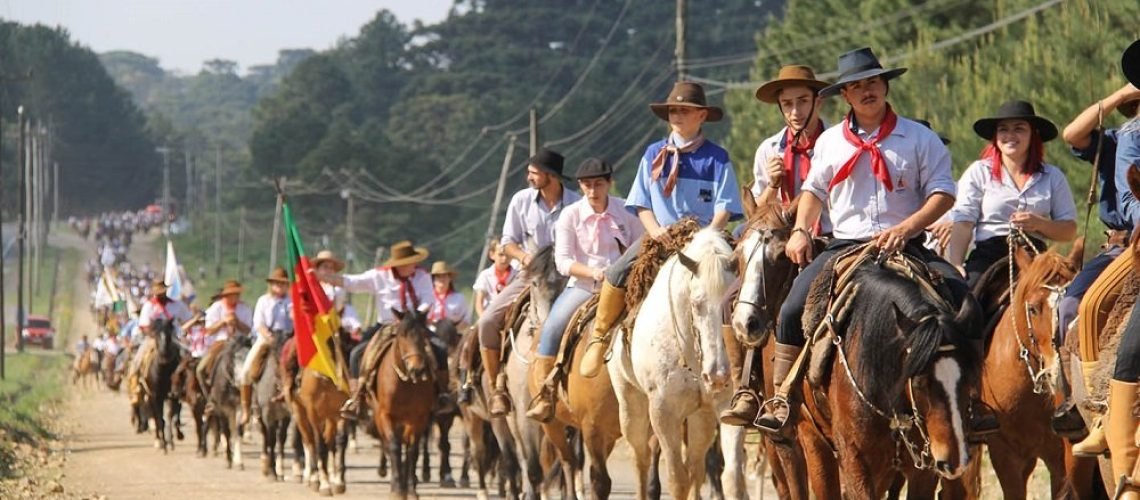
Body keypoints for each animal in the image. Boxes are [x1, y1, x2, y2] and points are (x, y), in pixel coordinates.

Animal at [371, 312, 437, 498]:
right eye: (402, 335)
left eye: (424, 334)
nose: (417, 369)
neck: (405, 383)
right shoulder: (385, 415)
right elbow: (394, 446)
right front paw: (398, 490)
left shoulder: (418, 418)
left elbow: (412, 450)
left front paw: (411, 490)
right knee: (389, 444)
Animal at [611, 228, 743, 498]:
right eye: (696, 303)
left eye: (733, 301)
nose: (718, 376)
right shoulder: (663, 412)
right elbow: (677, 479)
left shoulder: (727, 405)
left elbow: (732, 477)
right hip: (630, 406)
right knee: (641, 459)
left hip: (701, 416)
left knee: (696, 466)